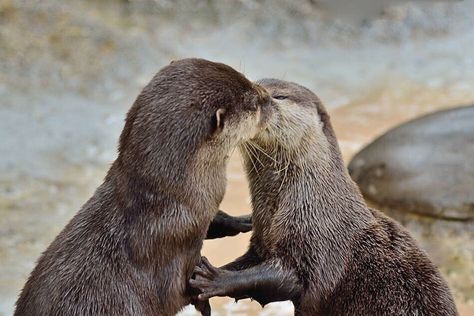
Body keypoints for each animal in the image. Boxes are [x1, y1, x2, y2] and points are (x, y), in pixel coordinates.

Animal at [13, 58, 270, 316]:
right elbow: (180, 294)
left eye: (249, 82)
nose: (268, 96)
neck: (168, 205)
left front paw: (242, 221)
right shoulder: (173, 247)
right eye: (253, 104)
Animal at [190, 79, 460, 316]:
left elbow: (287, 278)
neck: (313, 196)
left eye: (278, 96)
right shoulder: (263, 239)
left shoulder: (317, 241)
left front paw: (216, 278)